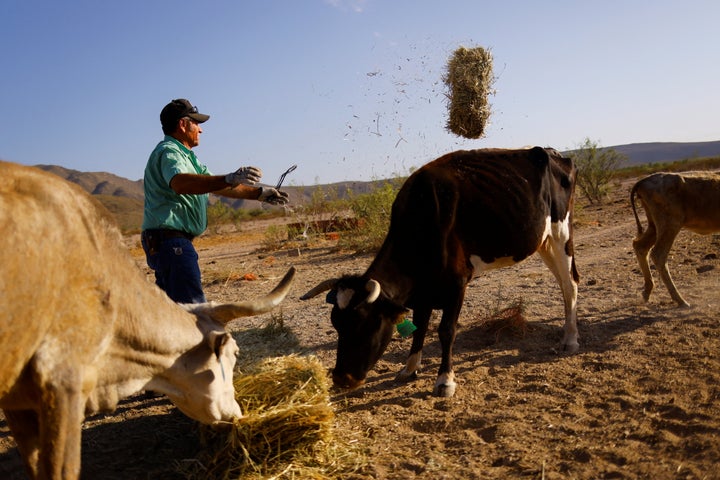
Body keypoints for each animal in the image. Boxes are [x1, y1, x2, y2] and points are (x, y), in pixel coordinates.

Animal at [300, 146, 584, 398]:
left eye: (367, 324)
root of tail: (554, 153)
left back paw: (570, 339)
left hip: (561, 231)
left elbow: (446, 330)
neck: (424, 217)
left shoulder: (457, 283)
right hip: (543, 240)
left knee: (570, 283)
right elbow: (419, 327)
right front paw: (409, 368)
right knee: (562, 282)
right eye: (336, 324)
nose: (342, 378)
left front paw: (445, 380)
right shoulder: (424, 289)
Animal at [632, 171, 720, 308]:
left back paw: (647, 292)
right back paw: (681, 300)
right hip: (670, 224)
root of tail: (644, 181)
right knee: (658, 254)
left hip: (654, 226)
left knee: (640, 246)